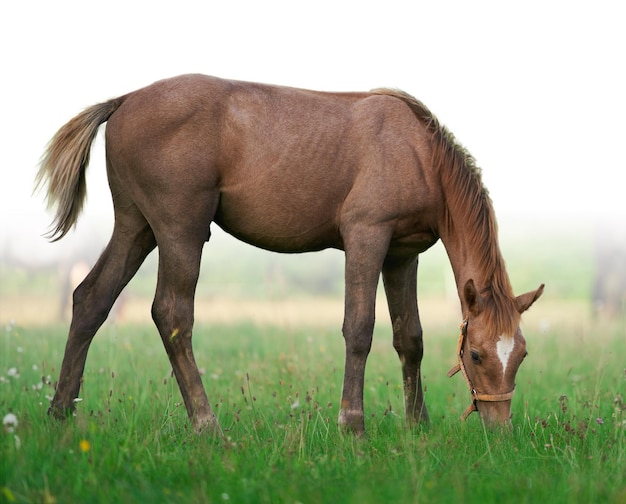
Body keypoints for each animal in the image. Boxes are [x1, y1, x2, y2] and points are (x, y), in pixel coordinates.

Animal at [36, 74, 540, 434]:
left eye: (521, 354)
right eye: (476, 355)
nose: (500, 430)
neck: (417, 153)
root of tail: (124, 100)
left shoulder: (402, 255)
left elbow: (409, 338)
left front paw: (419, 426)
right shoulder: (366, 238)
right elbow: (359, 329)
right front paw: (352, 425)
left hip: (135, 228)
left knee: (91, 300)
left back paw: (60, 412)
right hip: (180, 231)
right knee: (172, 314)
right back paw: (207, 425)